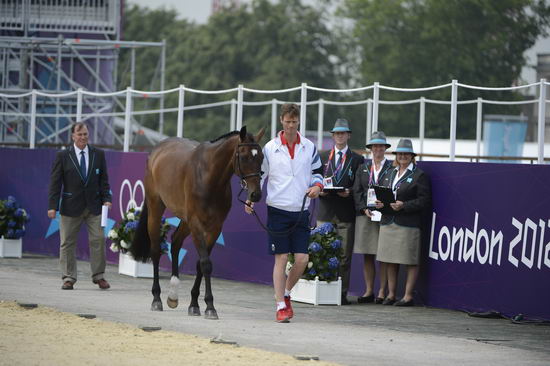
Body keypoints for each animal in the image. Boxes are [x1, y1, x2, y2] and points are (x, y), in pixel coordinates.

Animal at [130, 126, 266, 320]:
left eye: (261, 157)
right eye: (245, 156)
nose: (256, 195)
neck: (210, 178)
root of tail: (157, 150)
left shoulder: (215, 228)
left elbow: (201, 264)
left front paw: (195, 304)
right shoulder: (196, 225)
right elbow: (206, 264)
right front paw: (210, 306)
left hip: (185, 220)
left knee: (176, 242)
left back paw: (173, 296)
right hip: (157, 208)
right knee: (156, 250)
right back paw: (157, 298)